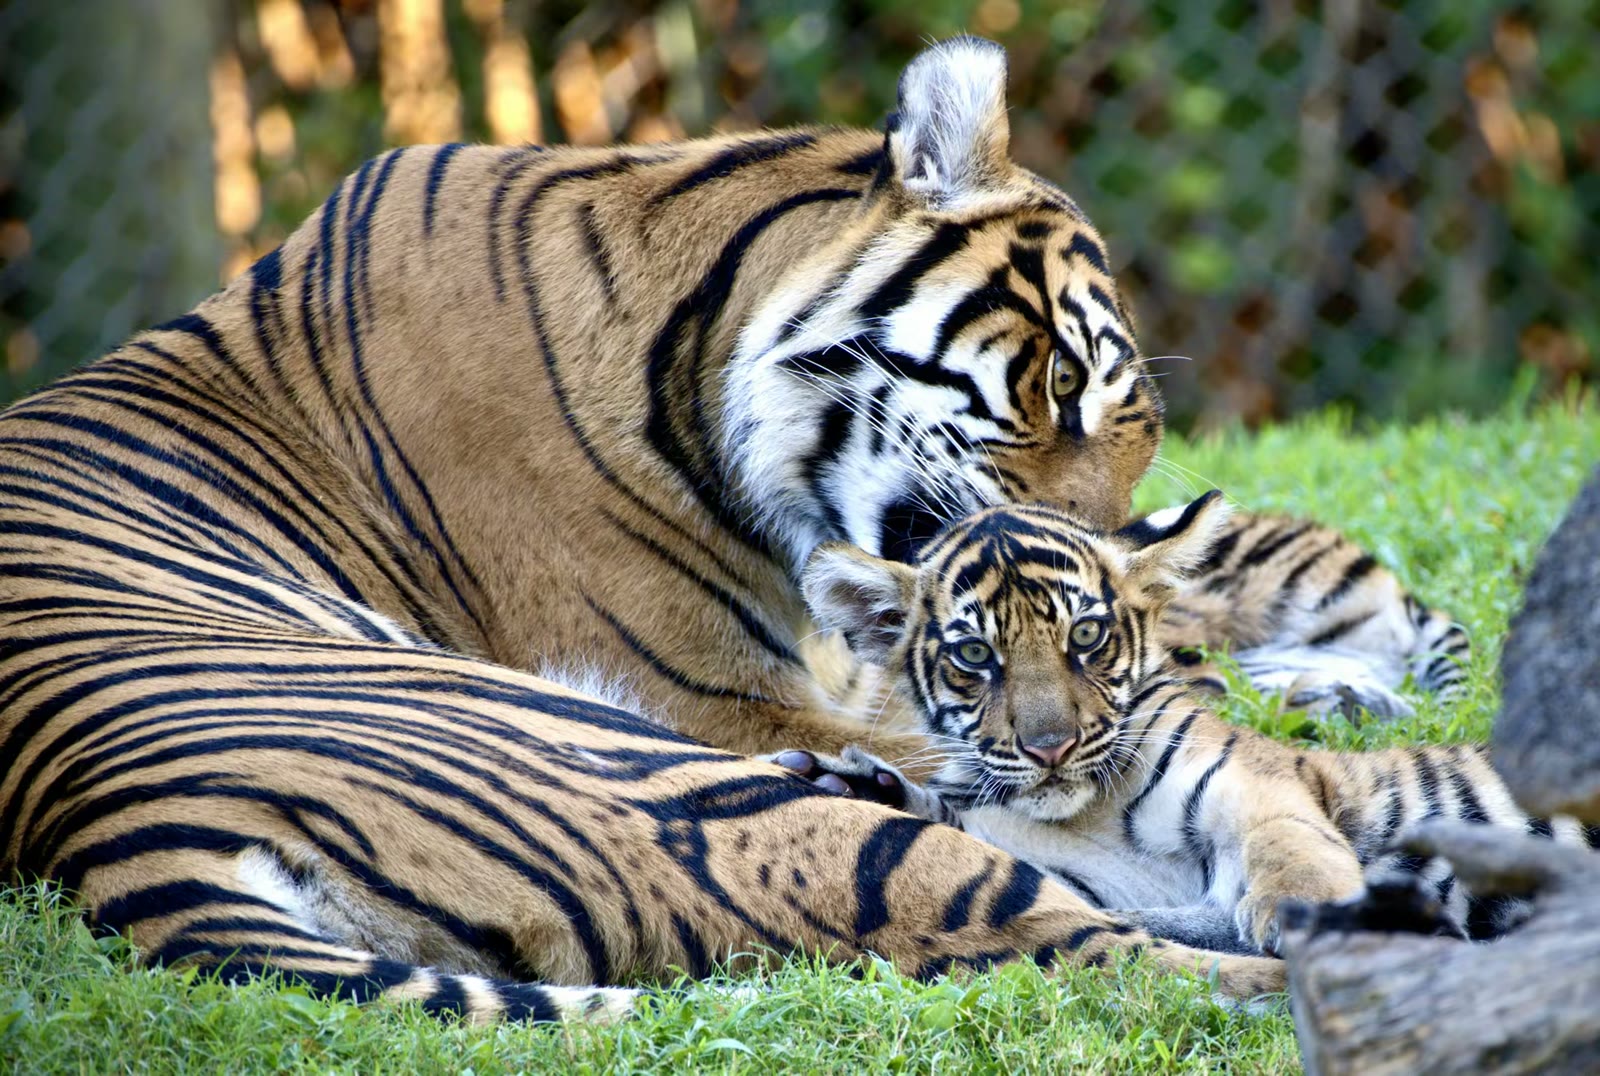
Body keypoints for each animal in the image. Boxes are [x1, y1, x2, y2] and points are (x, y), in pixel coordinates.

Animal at [780, 492, 1587, 956]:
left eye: (1085, 636)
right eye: (975, 654)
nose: (1050, 748)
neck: (1089, 811)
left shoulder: (1258, 786)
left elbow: (1287, 843)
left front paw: (1316, 911)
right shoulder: (1111, 885)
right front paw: (856, 784)